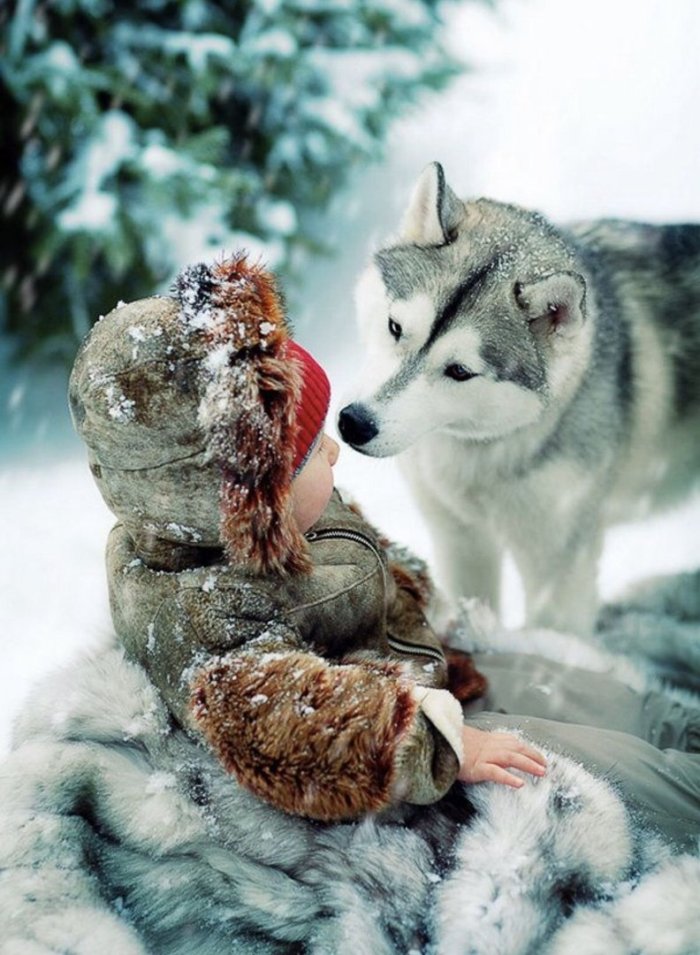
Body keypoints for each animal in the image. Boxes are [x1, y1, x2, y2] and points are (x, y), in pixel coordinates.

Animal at [338, 162, 700, 634]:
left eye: (460, 371)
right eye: (395, 327)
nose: (354, 423)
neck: (477, 454)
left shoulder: (559, 566)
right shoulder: (461, 538)